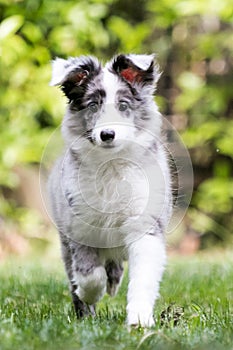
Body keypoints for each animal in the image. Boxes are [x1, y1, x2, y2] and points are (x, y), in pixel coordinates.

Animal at [47, 53, 171, 326]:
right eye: (93, 106)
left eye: (123, 106)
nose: (107, 134)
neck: (111, 164)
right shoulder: (79, 225)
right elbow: (88, 273)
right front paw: (90, 294)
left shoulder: (145, 224)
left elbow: (143, 277)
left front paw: (139, 320)